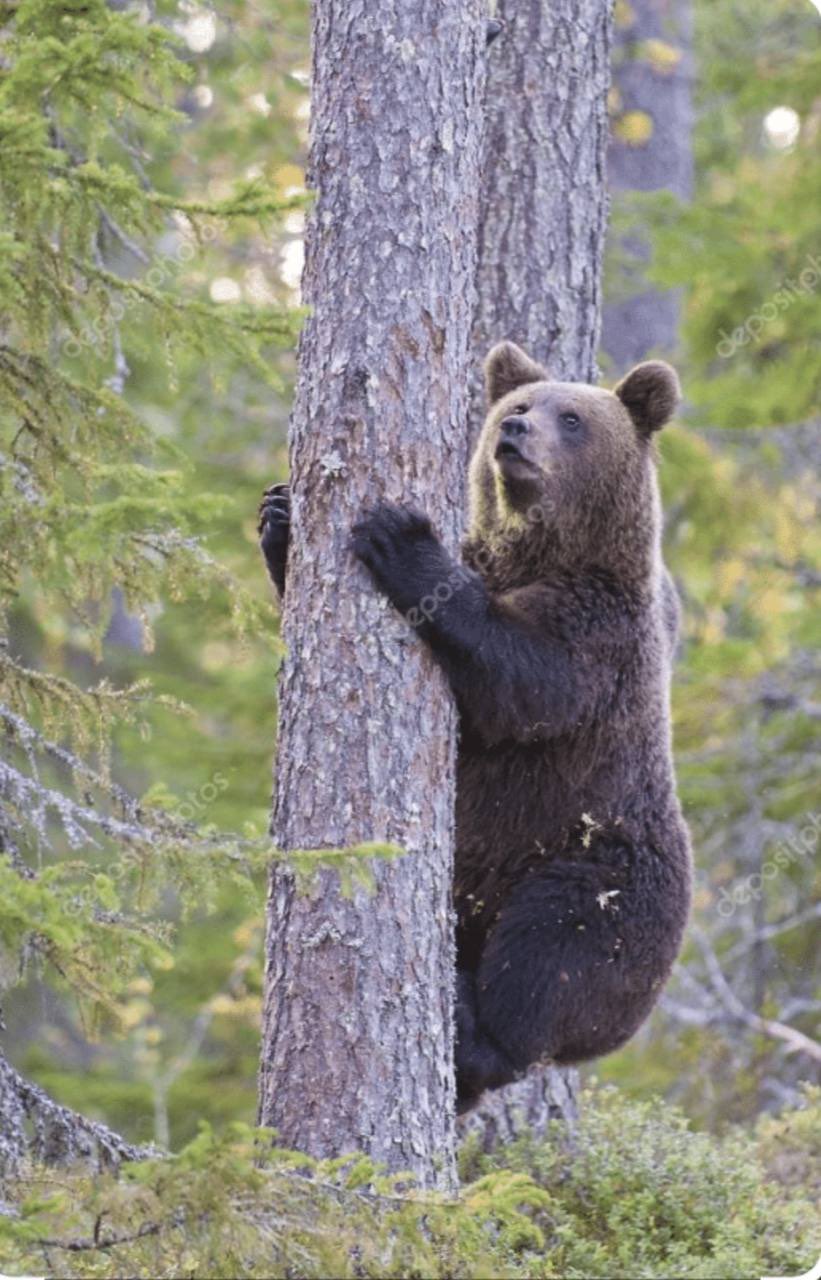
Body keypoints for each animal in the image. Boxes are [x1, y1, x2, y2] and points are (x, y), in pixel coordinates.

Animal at [261, 343, 691, 1111]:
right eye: (517, 405)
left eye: (572, 418)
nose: (514, 434)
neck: (539, 554)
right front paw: (279, 515)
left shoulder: (598, 639)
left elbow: (519, 680)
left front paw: (401, 538)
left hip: (597, 866)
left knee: (552, 955)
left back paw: (474, 1026)